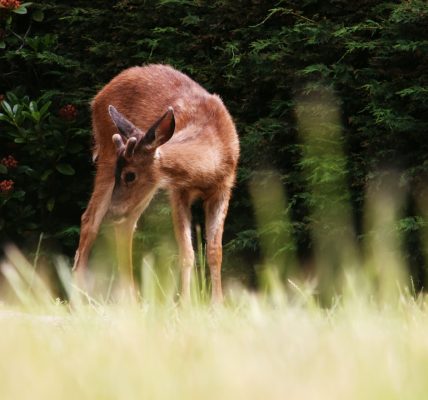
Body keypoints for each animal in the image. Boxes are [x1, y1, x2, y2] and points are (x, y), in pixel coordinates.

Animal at [74, 65, 241, 304]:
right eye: (122, 174)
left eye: (130, 175)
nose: (113, 211)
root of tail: (97, 98)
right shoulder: (177, 192)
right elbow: (187, 252)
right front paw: (185, 303)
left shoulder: (223, 189)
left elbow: (215, 251)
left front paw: (217, 303)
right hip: (107, 155)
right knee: (90, 219)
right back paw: (79, 296)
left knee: (124, 225)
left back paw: (131, 298)